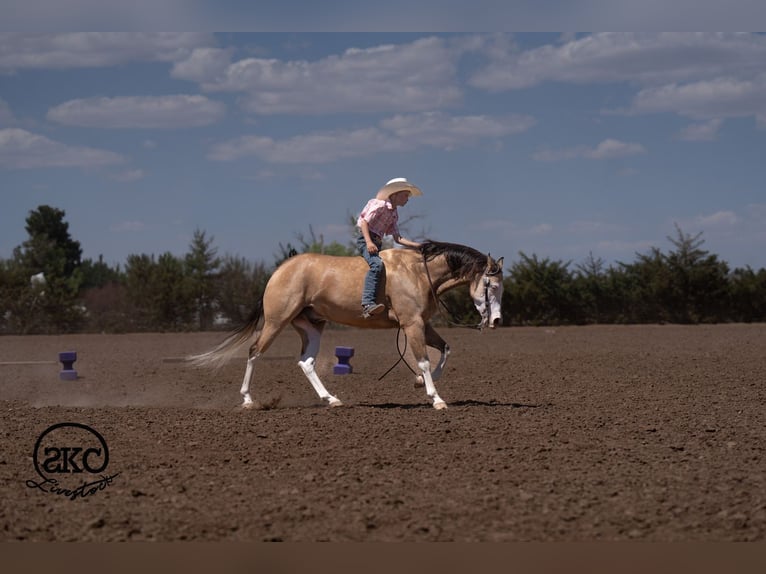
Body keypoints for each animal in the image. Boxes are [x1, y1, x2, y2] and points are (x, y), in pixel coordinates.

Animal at [189, 240, 504, 410]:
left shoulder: (422, 325)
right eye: (490, 284)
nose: (496, 320)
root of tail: (280, 270)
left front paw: (420, 383)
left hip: (312, 327)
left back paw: (331, 399)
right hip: (276, 321)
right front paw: (436, 398)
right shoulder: (413, 324)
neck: (417, 272)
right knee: (255, 352)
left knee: (306, 362)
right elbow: (425, 360)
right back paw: (247, 400)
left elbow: (445, 350)